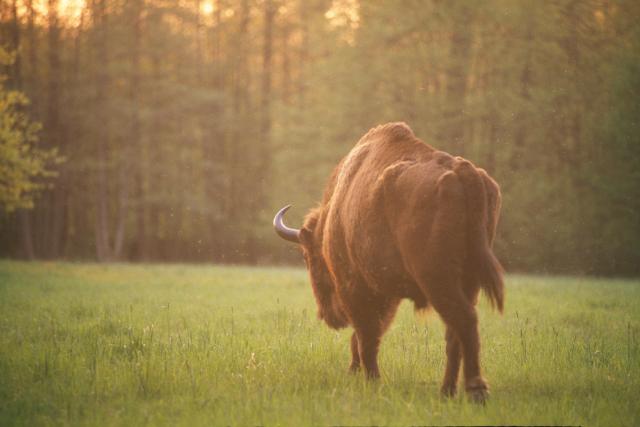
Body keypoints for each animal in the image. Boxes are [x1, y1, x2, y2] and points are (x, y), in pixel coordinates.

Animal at [273, 122, 504, 402]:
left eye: (308, 257)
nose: (327, 316)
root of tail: (462, 170)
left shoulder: (356, 288)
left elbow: (366, 335)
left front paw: (371, 380)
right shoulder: (386, 295)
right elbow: (369, 335)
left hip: (437, 279)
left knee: (464, 320)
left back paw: (475, 390)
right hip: (469, 281)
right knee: (454, 334)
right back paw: (446, 391)